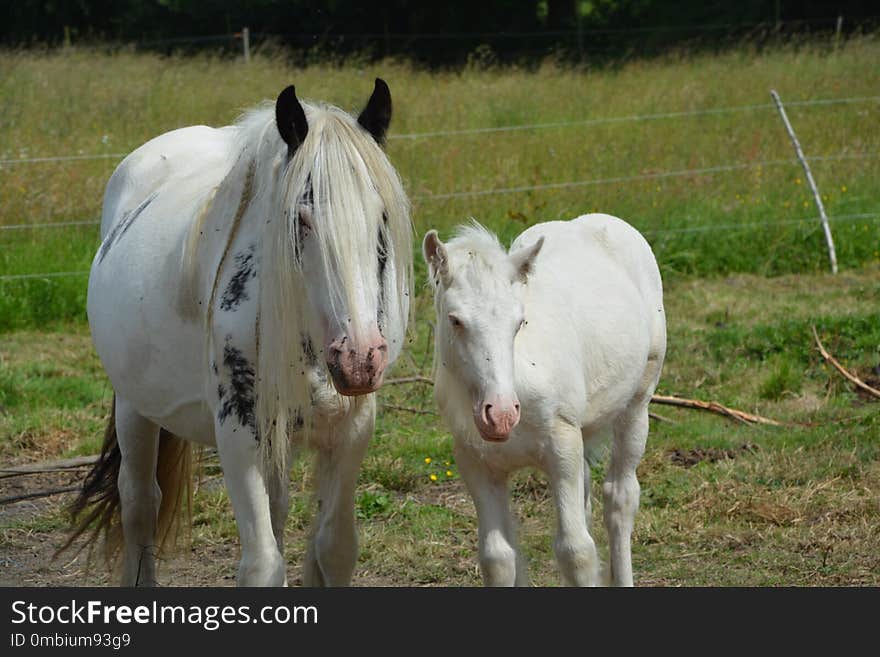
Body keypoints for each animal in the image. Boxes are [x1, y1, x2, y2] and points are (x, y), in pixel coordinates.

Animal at [62, 79, 412, 588]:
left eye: (381, 217)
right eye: (300, 219)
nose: (359, 358)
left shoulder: (350, 429)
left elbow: (335, 548)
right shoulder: (238, 430)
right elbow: (263, 565)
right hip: (134, 405)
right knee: (140, 502)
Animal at [426, 218, 668, 588]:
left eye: (519, 322)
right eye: (455, 320)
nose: (500, 414)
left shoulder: (562, 445)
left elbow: (576, 551)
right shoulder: (476, 462)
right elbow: (498, 558)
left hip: (637, 403)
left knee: (620, 498)